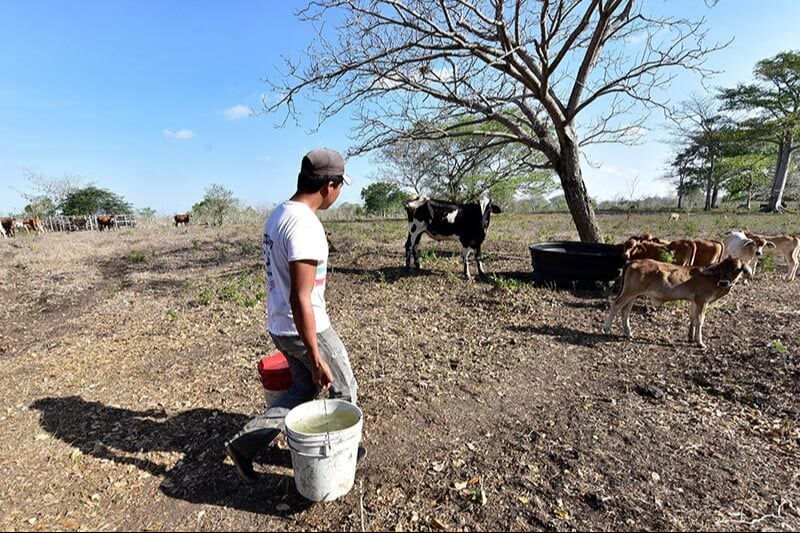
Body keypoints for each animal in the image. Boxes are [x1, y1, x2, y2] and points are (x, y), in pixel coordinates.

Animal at [604, 256, 752, 350]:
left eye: (737, 269)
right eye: (722, 269)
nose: (724, 283)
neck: (712, 278)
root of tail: (635, 261)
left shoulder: (695, 301)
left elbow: (693, 318)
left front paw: (691, 337)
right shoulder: (702, 300)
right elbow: (700, 320)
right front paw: (700, 342)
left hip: (633, 294)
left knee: (625, 311)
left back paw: (629, 333)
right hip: (629, 292)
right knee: (616, 305)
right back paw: (607, 328)